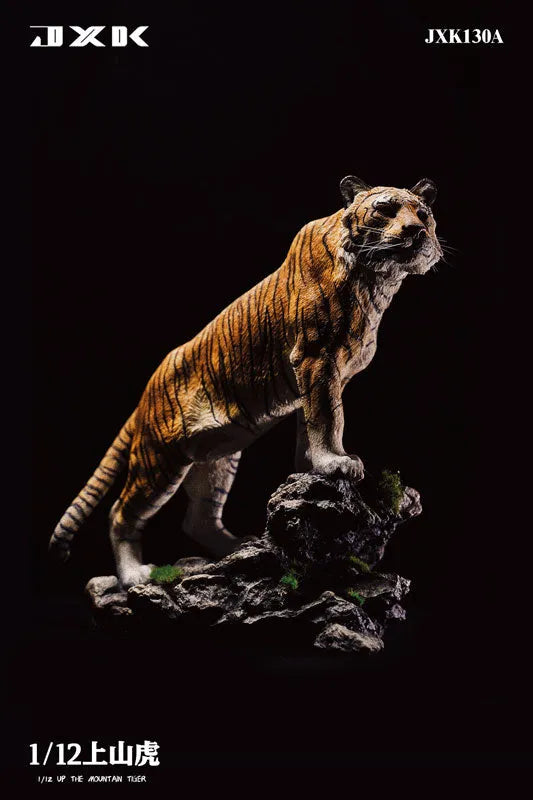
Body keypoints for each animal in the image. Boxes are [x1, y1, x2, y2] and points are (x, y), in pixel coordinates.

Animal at [50, 175, 442, 588]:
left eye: (423, 213)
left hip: (216, 459)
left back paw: (237, 552)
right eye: (385, 208)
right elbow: (327, 418)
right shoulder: (316, 357)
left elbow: (316, 420)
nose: (416, 231)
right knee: (121, 513)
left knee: (198, 520)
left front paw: (310, 467)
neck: (378, 279)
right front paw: (336, 463)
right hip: (158, 460)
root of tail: (146, 395)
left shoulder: (329, 373)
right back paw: (134, 575)